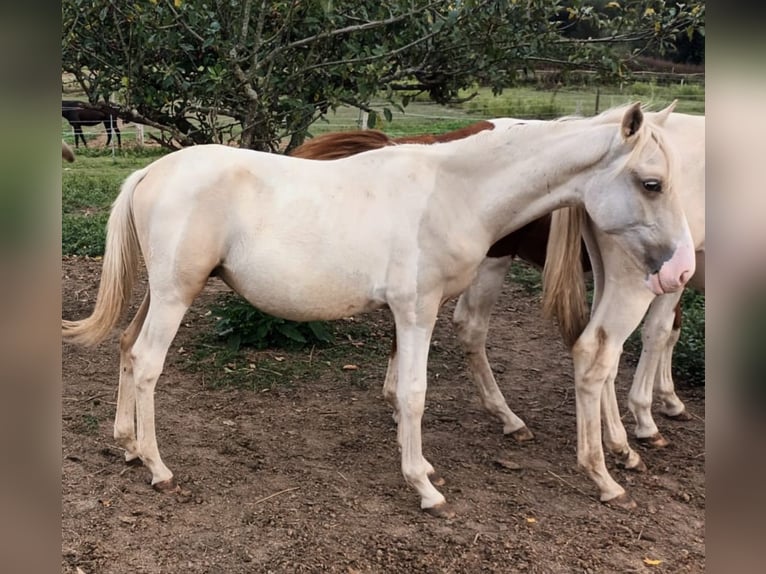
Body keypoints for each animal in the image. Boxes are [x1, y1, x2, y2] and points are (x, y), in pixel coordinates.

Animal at [294, 111, 708, 454]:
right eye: (653, 184)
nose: (682, 264)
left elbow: (666, 332)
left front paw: (665, 403)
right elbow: (659, 333)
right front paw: (648, 419)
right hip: (504, 261)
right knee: (475, 328)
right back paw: (510, 418)